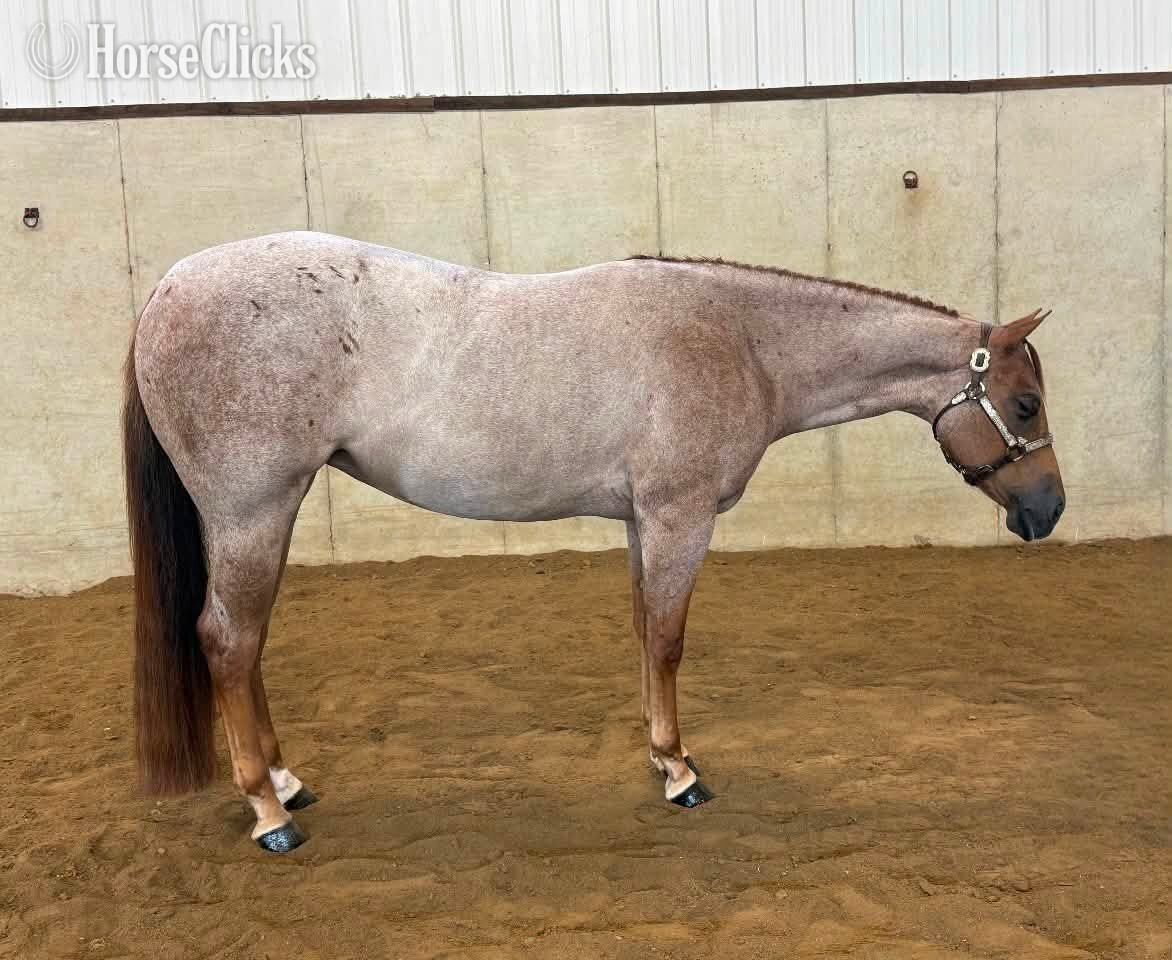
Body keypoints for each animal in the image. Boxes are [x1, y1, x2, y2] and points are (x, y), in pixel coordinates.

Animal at [122, 232, 1063, 852]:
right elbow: (670, 639)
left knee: (244, 645)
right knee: (228, 641)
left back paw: (286, 782)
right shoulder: (682, 515)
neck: (741, 338)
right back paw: (269, 813)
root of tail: (166, 290)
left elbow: (645, 634)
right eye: (1023, 404)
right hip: (254, 512)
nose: (1048, 510)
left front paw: (659, 756)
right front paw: (682, 773)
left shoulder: (644, 520)